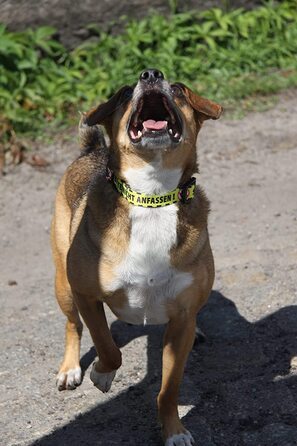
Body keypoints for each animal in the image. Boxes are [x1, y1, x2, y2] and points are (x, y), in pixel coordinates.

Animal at [51, 68, 222, 444]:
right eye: (126, 92)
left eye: (178, 90)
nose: (152, 74)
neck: (152, 195)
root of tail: (92, 150)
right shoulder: (86, 295)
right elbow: (107, 347)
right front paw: (101, 374)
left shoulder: (180, 323)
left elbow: (168, 388)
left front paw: (173, 430)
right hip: (64, 286)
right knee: (73, 326)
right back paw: (70, 369)